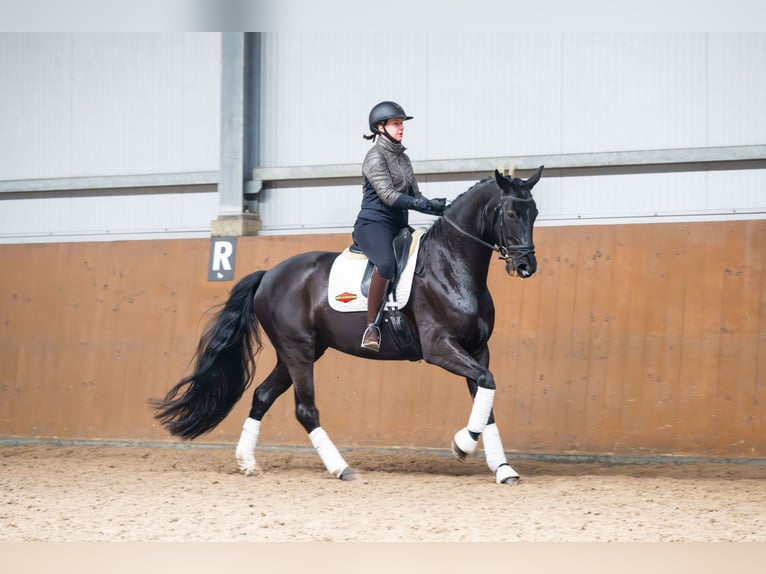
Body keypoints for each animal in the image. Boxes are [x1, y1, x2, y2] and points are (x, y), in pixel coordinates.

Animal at [152, 166, 542, 484]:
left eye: (534, 212)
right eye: (511, 212)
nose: (526, 266)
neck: (451, 266)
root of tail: (268, 276)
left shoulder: (477, 349)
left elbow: (486, 397)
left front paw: (502, 468)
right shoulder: (440, 348)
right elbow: (486, 386)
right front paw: (461, 445)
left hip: (296, 353)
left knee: (262, 396)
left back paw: (247, 462)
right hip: (298, 352)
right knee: (305, 409)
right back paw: (340, 468)